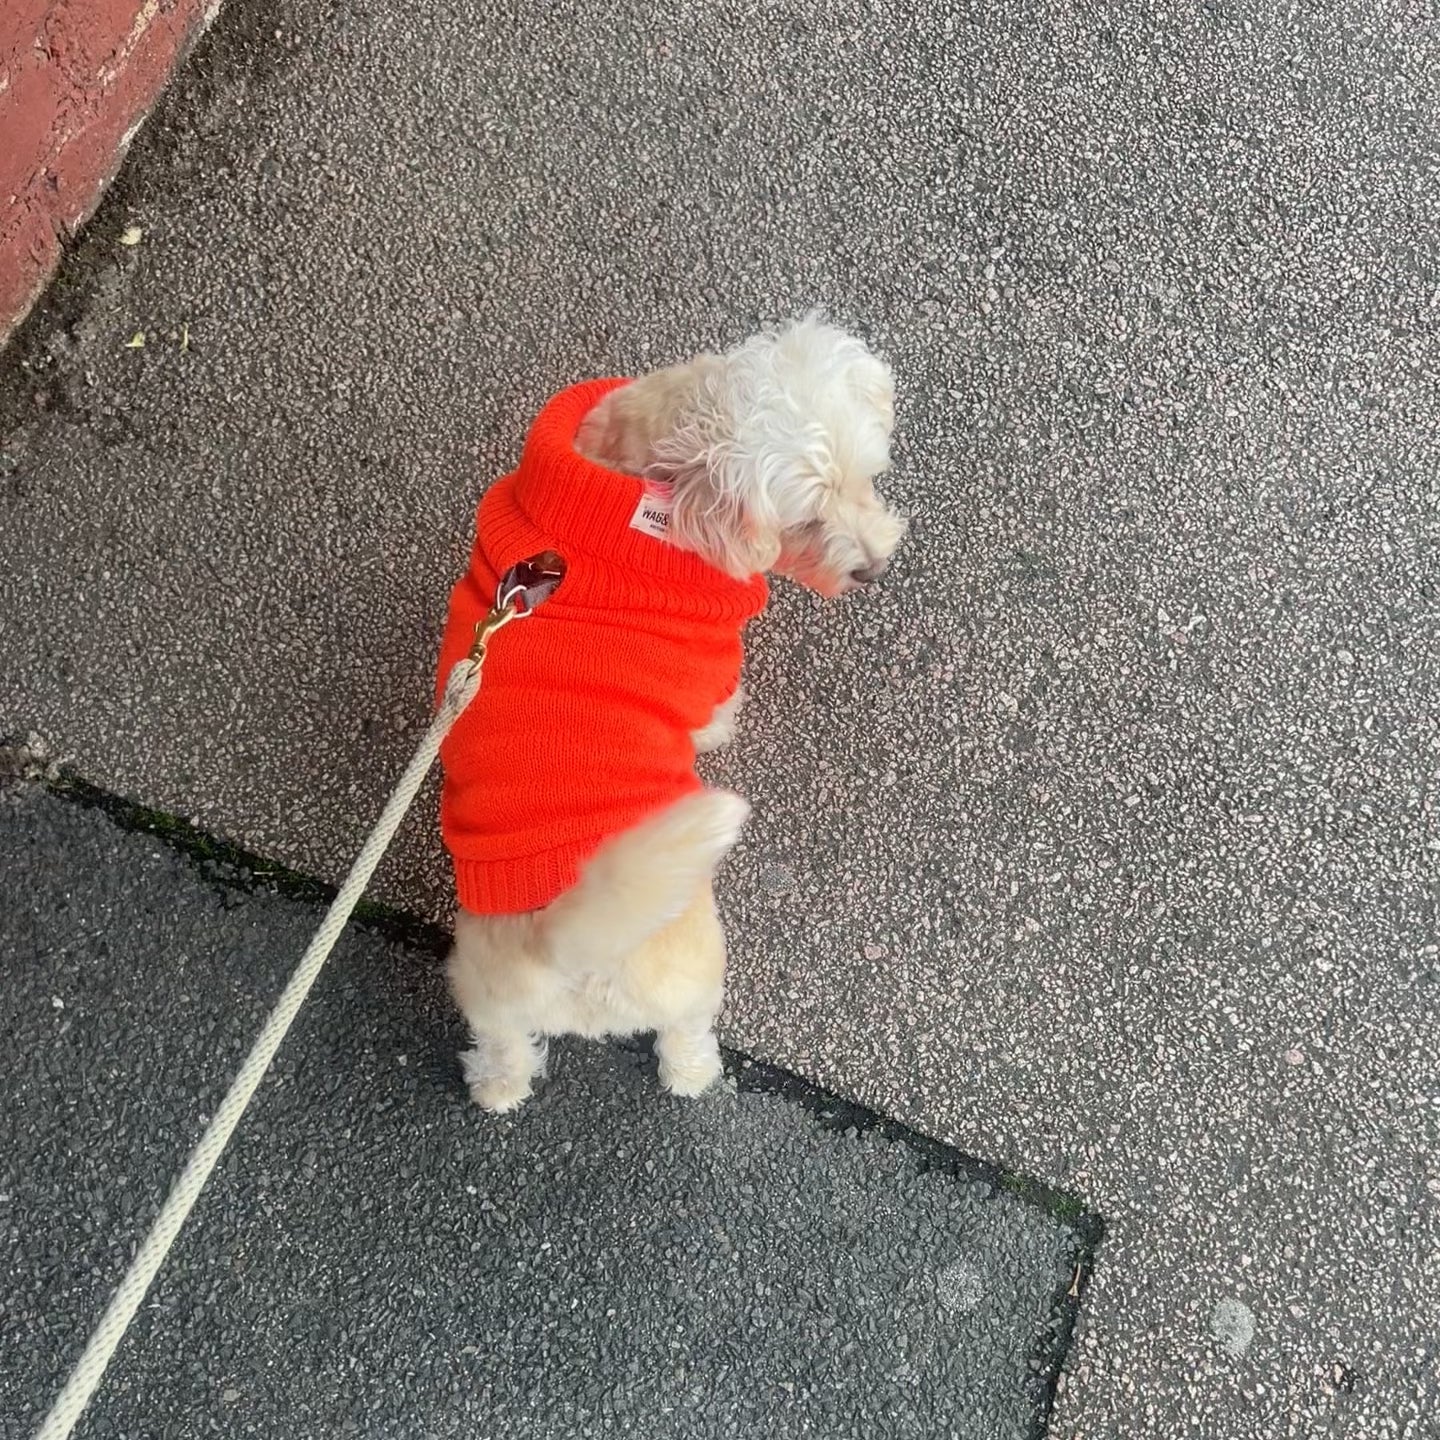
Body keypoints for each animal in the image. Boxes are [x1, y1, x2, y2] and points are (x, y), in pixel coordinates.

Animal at [443, 318, 904, 1111]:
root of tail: (561, 943)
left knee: (504, 1047)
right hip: (694, 961)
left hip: (487, 993)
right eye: (805, 521)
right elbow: (714, 708)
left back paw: (496, 1086)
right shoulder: (710, 661)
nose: (873, 570)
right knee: (684, 1028)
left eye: (866, 478)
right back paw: (696, 1073)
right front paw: (720, 727)